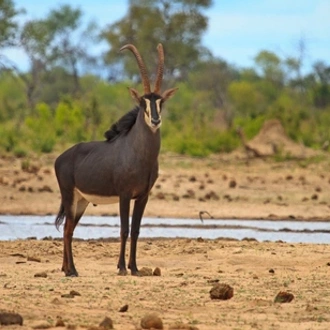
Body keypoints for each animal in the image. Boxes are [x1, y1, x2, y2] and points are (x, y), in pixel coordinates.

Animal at [54, 43, 178, 276]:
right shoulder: (124, 195)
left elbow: (136, 230)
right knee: (67, 230)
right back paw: (72, 270)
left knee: (68, 228)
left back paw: (66, 269)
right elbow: (124, 229)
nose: (155, 120)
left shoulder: (143, 196)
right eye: (143, 102)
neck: (140, 156)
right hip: (69, 195)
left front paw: (135, 268)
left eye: (161, 101)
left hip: (81, 201)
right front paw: (121, 267)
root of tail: (61, 158)